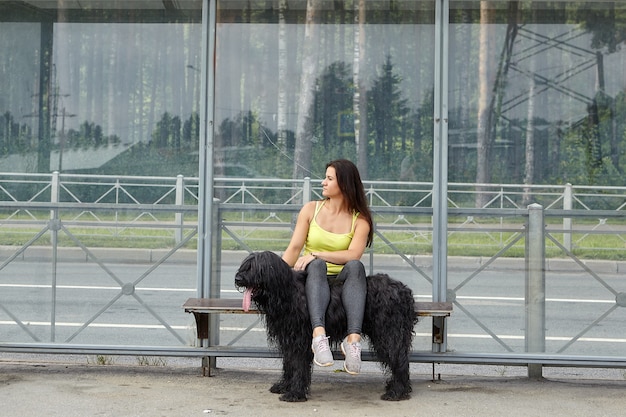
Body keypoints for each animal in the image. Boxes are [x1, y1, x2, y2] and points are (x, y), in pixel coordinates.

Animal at [232, 249, 416, 402]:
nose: (238, 278)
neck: (286, 293)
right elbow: (289, 364)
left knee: (399, 359)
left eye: (255, 268)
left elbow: (298, 365)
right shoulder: (288, 339)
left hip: (389, 333)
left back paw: (397, 392)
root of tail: (404, 290)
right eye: (244, 266)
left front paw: (294, 393)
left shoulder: (299, 340)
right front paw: (284, 386)